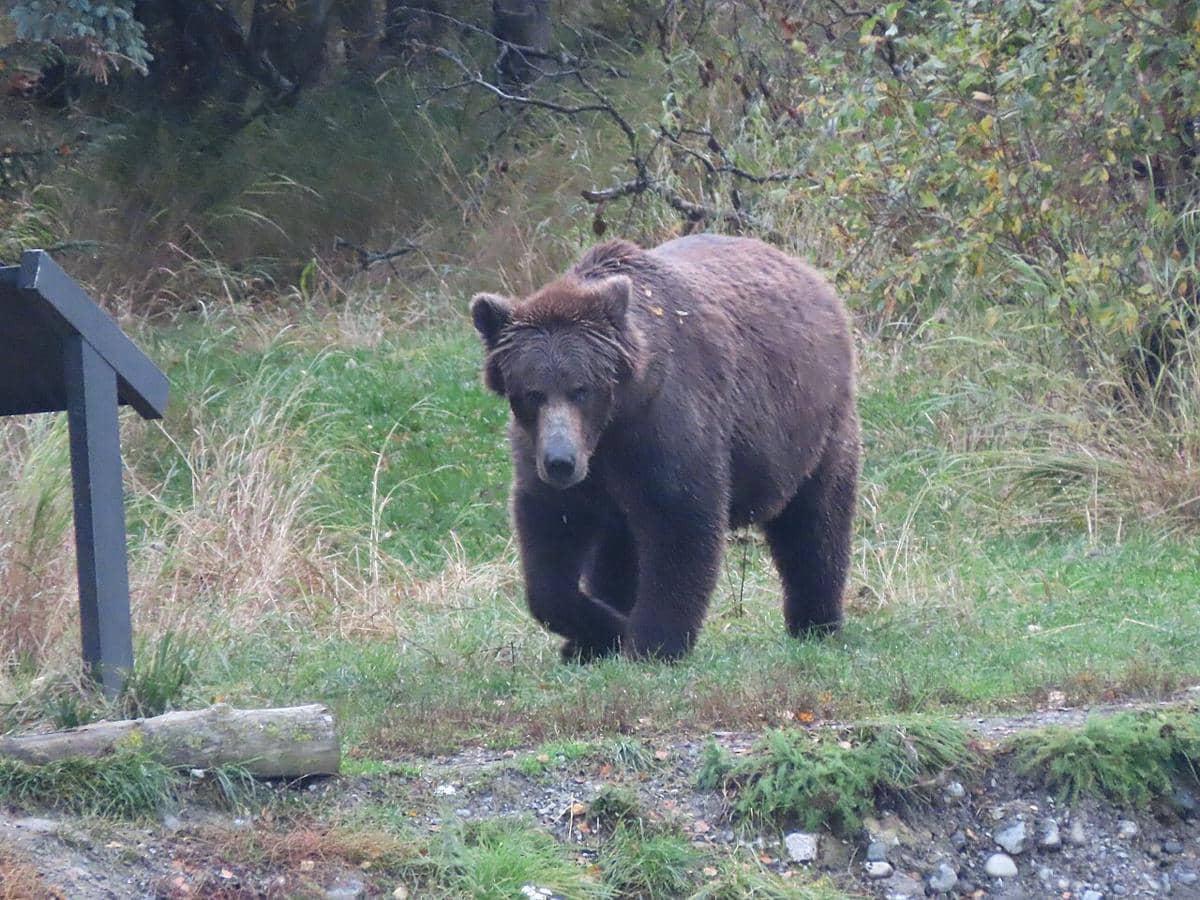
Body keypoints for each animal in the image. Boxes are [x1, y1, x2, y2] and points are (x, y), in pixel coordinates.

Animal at [470, 234, 859, 662]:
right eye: (532, 393)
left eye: (581, 388)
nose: (560, 462)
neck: (610, 426)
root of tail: (813, 279)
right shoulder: (550, 457)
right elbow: (549, 547)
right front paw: (600, 631)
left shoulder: (663, 429)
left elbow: (679, 523)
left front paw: (652, 642)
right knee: (618, 550)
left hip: (812, 426)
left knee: (815, 521)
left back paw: (816, 622)